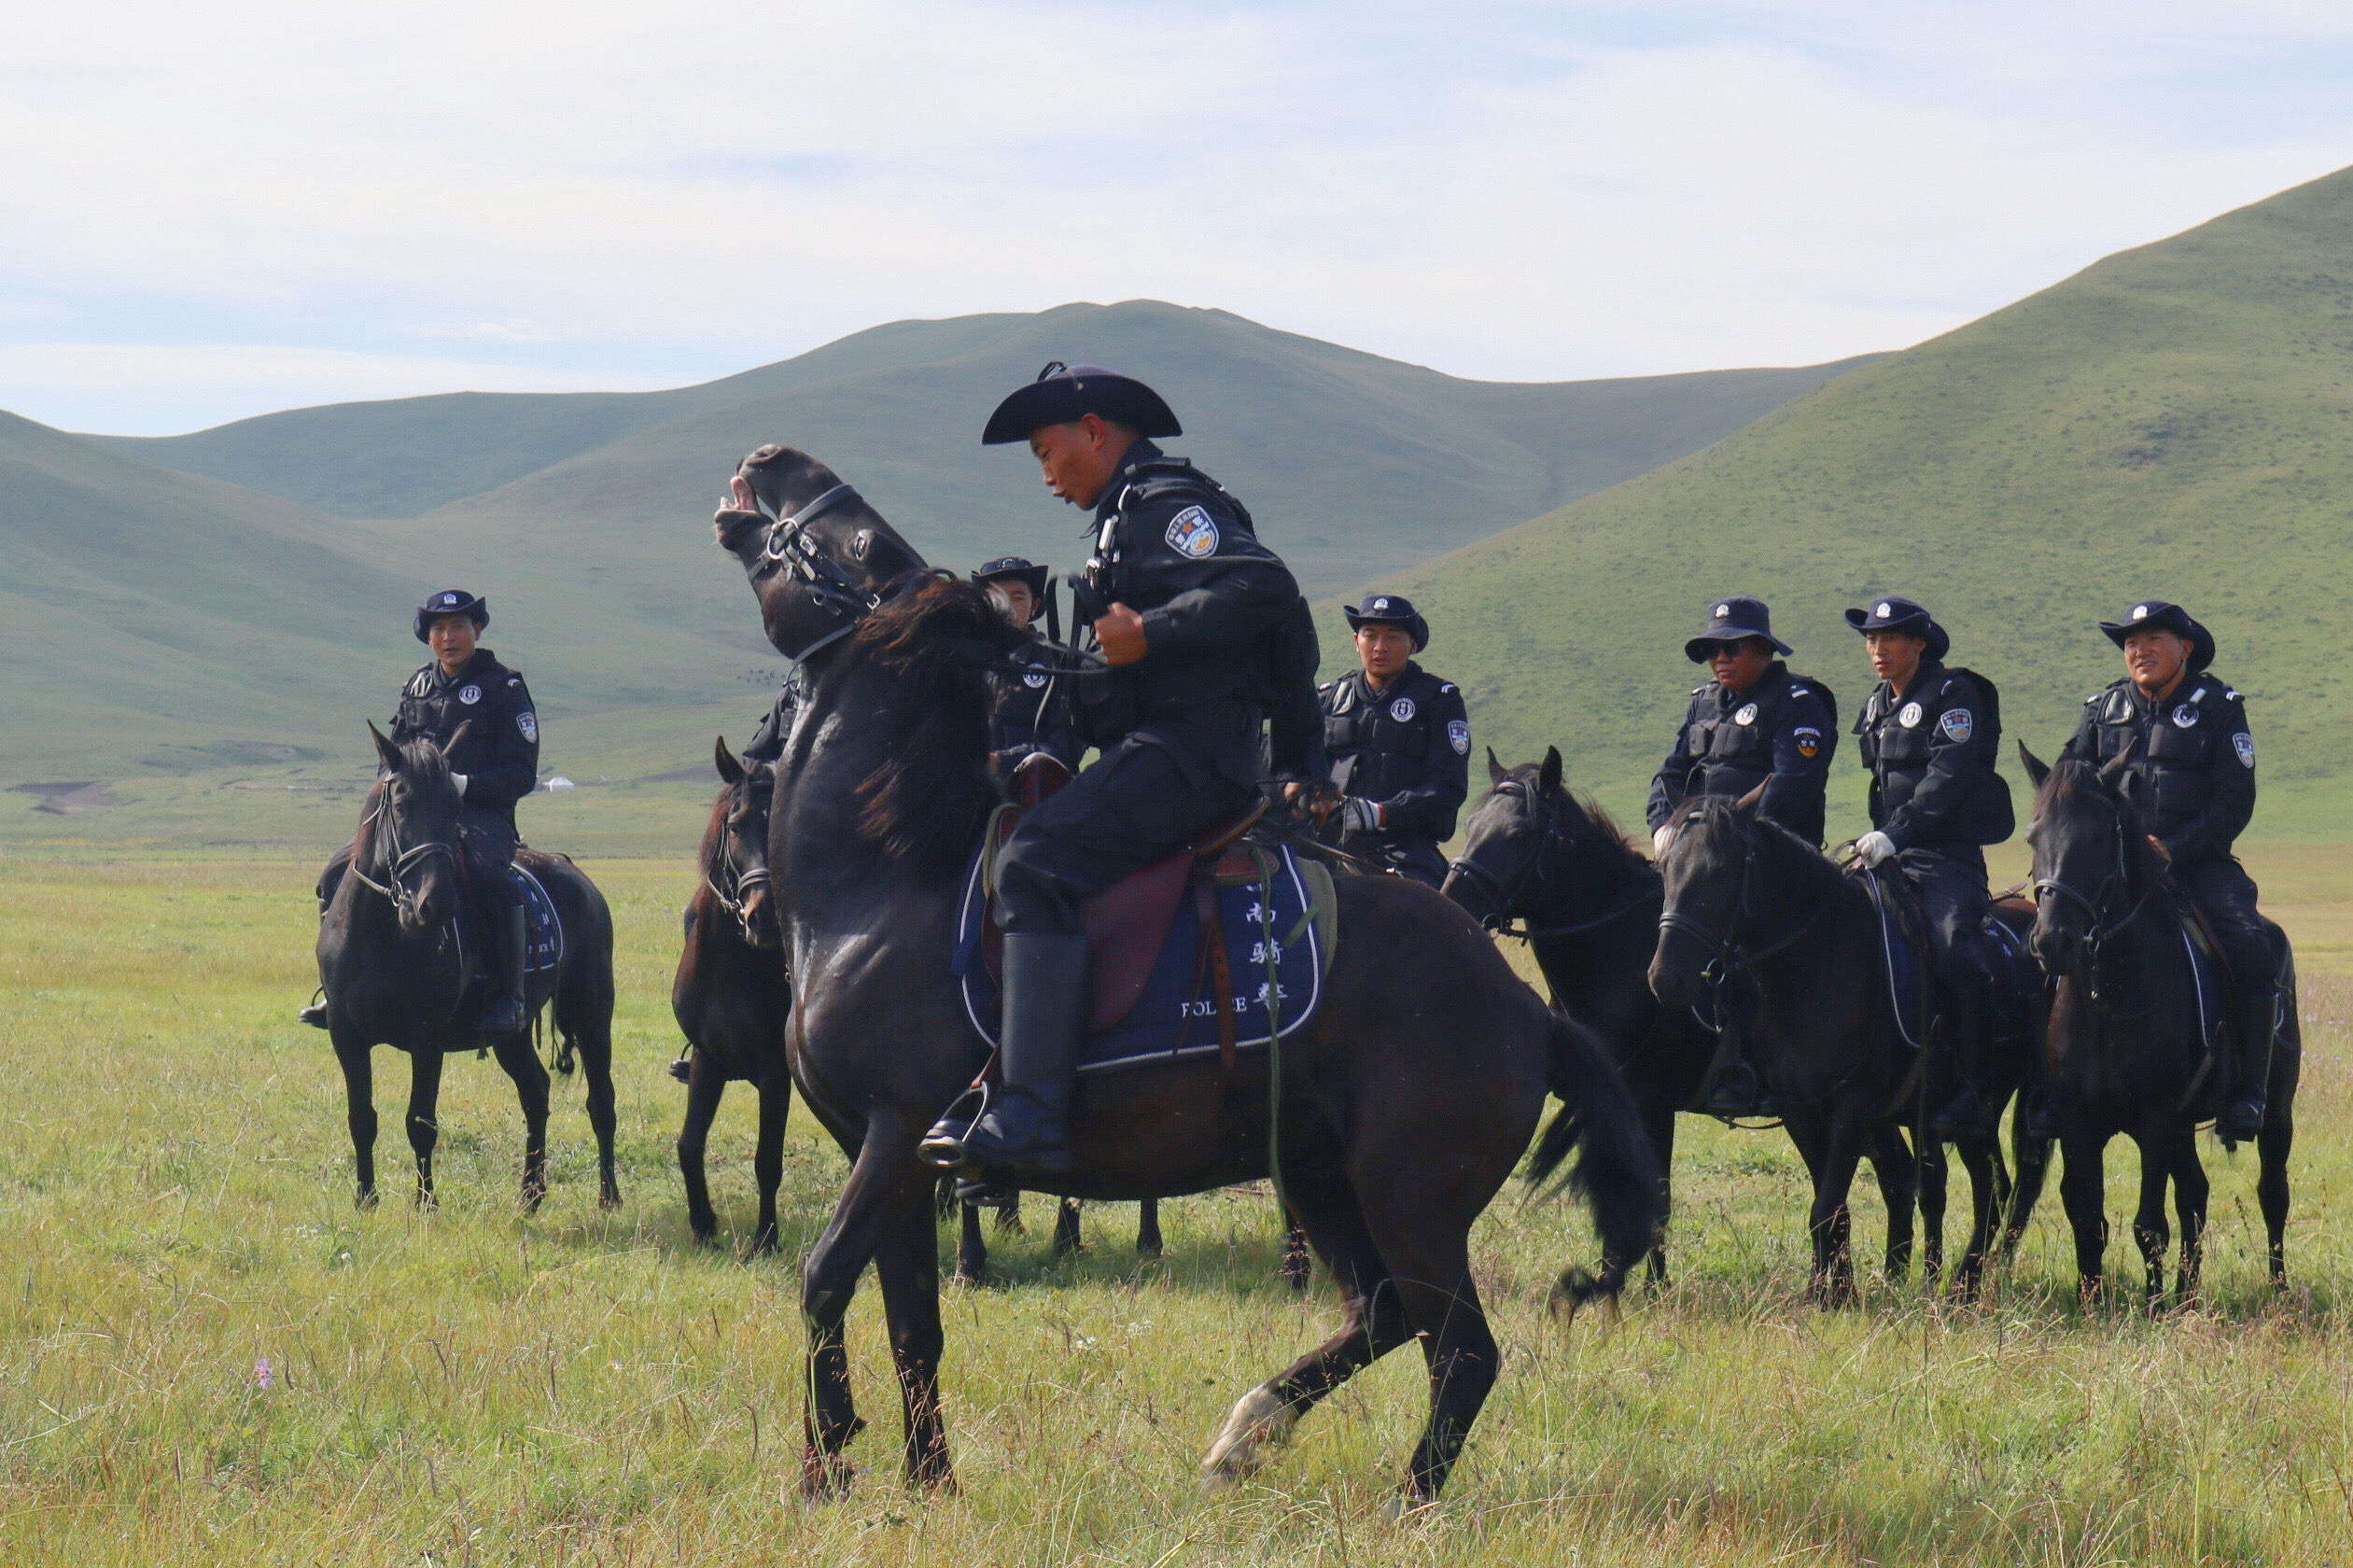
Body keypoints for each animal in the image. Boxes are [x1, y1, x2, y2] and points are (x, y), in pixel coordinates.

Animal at [317, 724, 621, 1205]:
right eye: (400, 806)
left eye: (454, 806)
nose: (435, 904)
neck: (379, 935)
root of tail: (577, 876)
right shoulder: (346, 1035)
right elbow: (361, 1118)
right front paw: (365, 1200)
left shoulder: (426, 1039)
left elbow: (420, 1123)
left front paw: (426, 1204)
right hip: (511, 1034)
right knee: (536, 1092)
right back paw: (530, 1194)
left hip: (591, 1013)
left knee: (601, 1101)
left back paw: (608, 1196)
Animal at [710, 442, 1656, 1506]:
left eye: (863, 543)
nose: (770, 459)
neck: (885, 877)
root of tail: (1524, 1009)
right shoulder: (893, 1157)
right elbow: (913, 1319)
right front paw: (928, 1482)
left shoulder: (900, 1131)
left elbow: (824, 1276)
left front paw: (826, 1462)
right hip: (1322, 1175)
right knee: (1382, 1315)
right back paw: (1246, 1434)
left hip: (1411, 1198)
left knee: (1458, 1348)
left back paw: (1405, 1501)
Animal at [1439, 753, 1939, 1290]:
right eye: (1470, 826)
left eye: (1518, 834)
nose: (1453, 905)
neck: (1616, 952)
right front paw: (1629, 1279)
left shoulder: (1652, 1101)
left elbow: (1655, 1194)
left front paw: (1647, 1287)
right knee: (1896, 1175)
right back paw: (1890, 1278)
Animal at [1646, 795, 2013, 1290]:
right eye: (1664, 868)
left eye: (1718, 870)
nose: (1666, 979)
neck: (1814, 965)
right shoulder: (1799, 1107)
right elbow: (1830, 1207)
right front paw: (1831, 1289)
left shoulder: (1852, 1106)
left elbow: (1826, 1207)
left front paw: (1833, 1292)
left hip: (1978, 1115)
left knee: (1990, 1191)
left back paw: (1963, 1286)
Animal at [2004, 744, 2296, 1290]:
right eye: (2033, 835)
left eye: (2100, 836)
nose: (2052, 940)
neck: (2107, 996)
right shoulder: (2078, 1122)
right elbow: (2087, 1219)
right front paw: (2095, 1299)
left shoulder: (2157, 1119)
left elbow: (2149, 1226)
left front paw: (2153, 1303)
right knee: (2196, 1196)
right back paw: (2187, 1294)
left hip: (2275, 1113)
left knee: (2272, 1195)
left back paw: (2279, 1288)